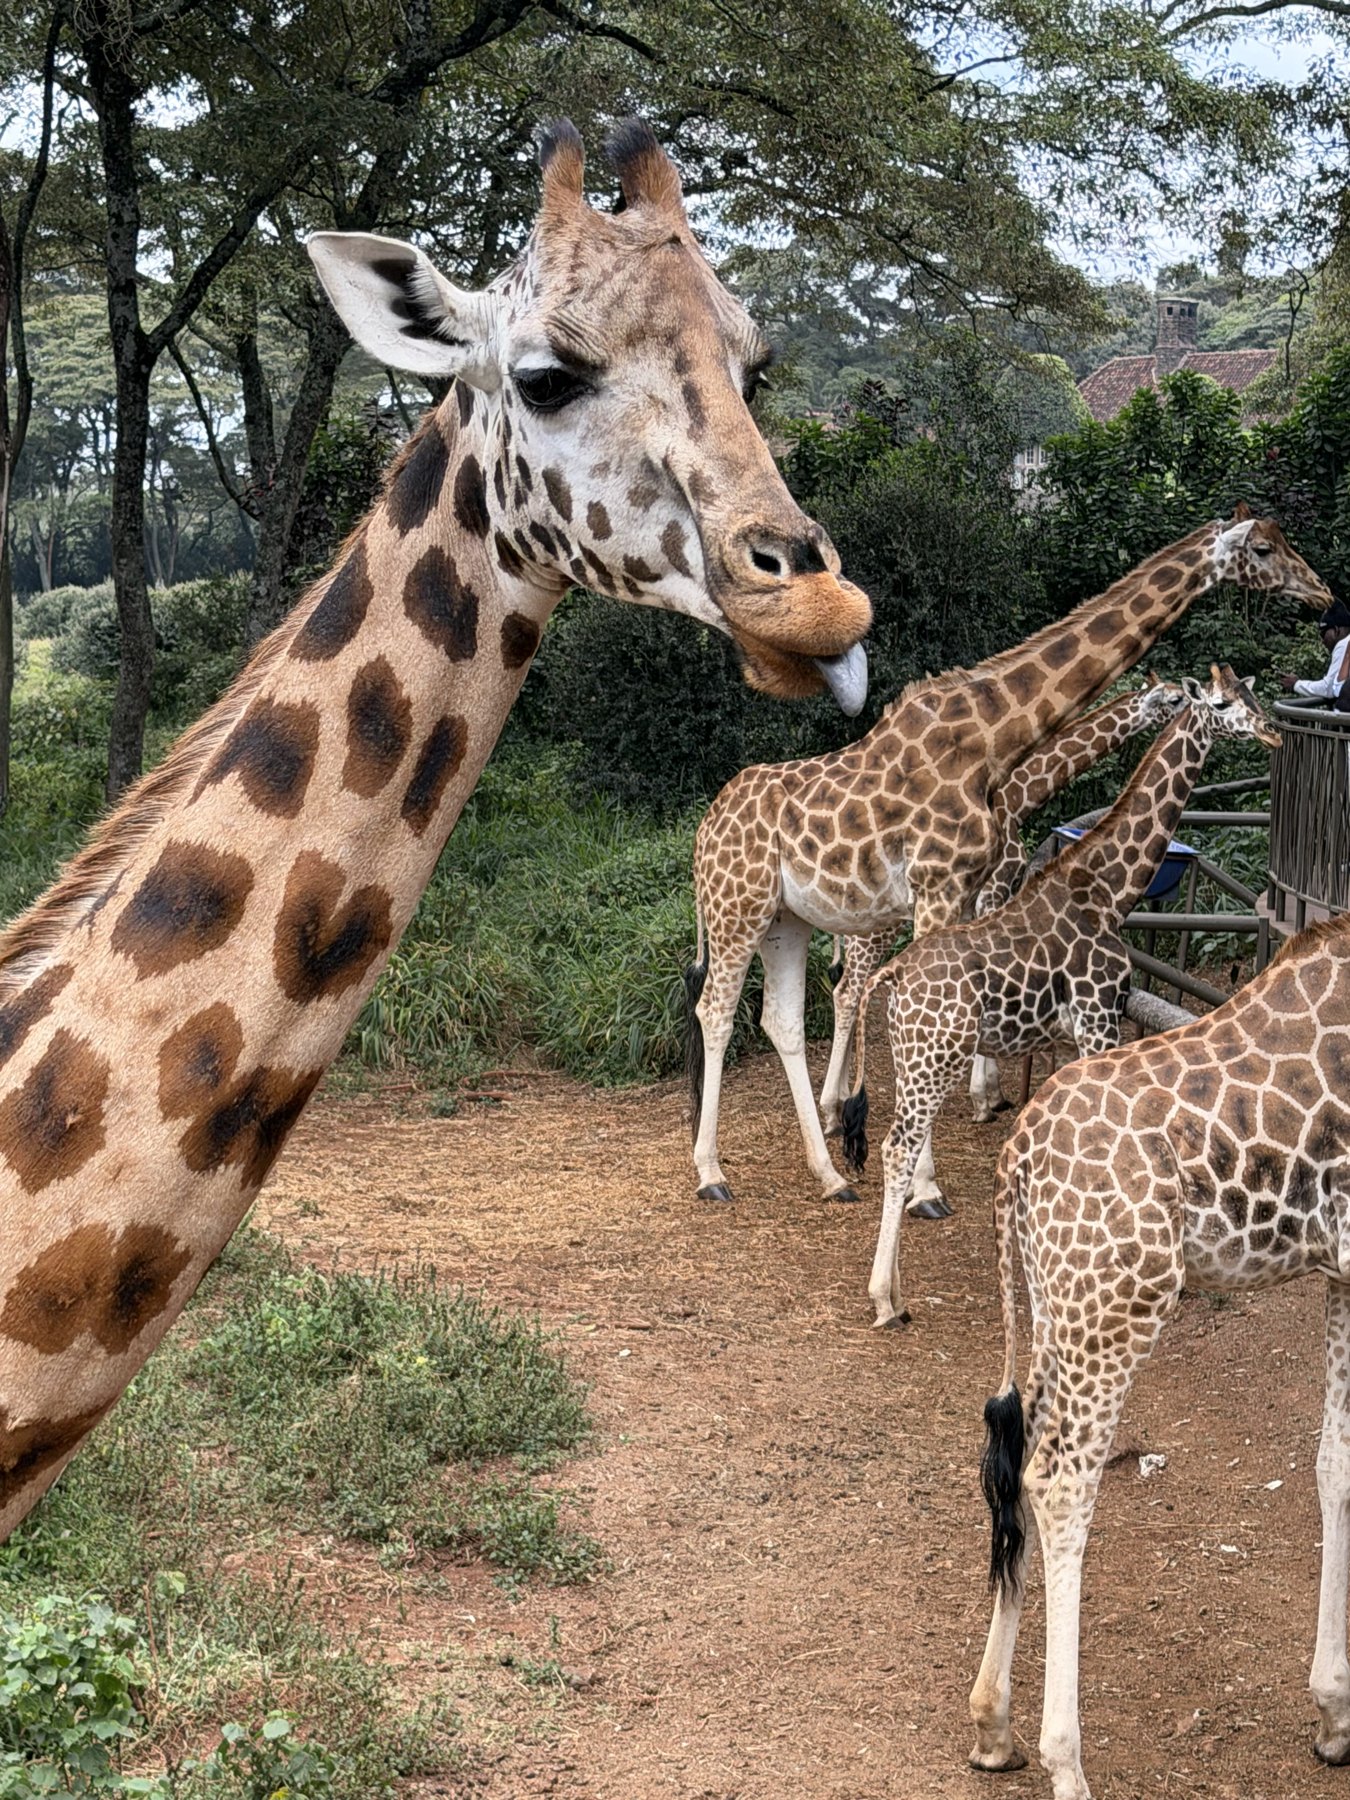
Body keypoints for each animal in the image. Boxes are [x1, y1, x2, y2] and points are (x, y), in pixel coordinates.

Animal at [819, 672, 1191, 1147]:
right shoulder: (992, 890)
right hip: (877, 924)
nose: (1191, 701)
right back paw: (832, 1108)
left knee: (846, 986)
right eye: (1173, 698)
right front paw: (985, 1096)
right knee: (849, 990)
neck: (1019, 793)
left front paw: (988, 1090)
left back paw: (841, 1101)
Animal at [968, 917, 1350, 1800]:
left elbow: (1333, 1461)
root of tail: (1015, 1163)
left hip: (1059, 1306)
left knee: (1016, 1460)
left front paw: (1334, 1716)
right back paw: (1066, 1763)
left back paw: (994, 1726)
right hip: (1118, 1306)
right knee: (1060, 1480)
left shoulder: (1341, 1271)